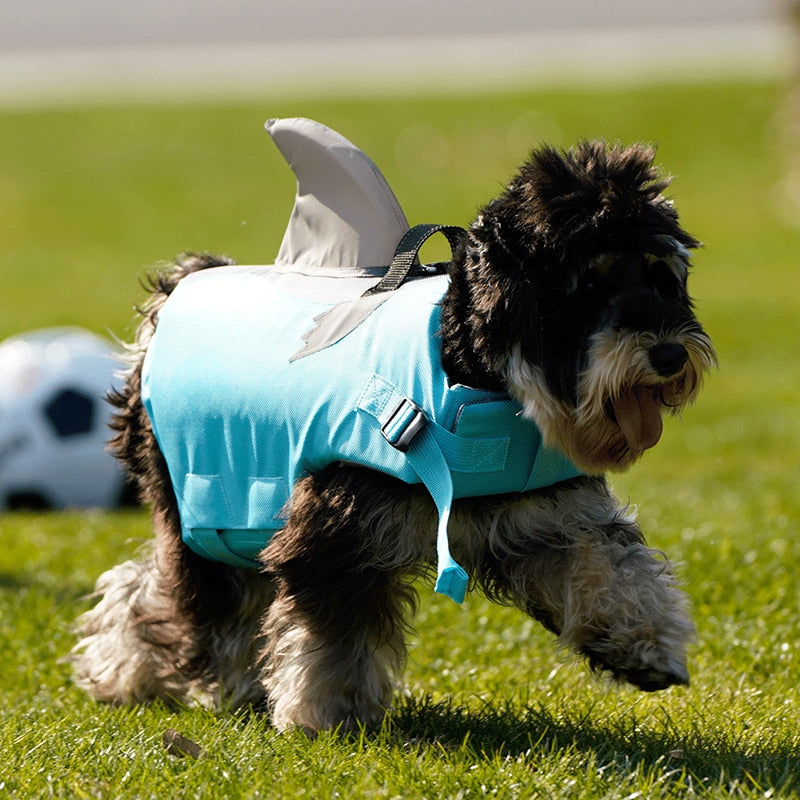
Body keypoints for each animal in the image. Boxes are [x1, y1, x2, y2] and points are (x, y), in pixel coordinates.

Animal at [72, 123, 716, 732]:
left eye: (662, 277)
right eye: (587, 285)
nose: (668, 355)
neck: (466, 373)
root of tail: (178, 290)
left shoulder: (547, 517)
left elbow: (611, 570)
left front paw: (643, 645)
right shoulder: (337, 534)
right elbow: (333, 636)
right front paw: (329, 713)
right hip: (205, 509)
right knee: (184, 601)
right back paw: (140, 673)